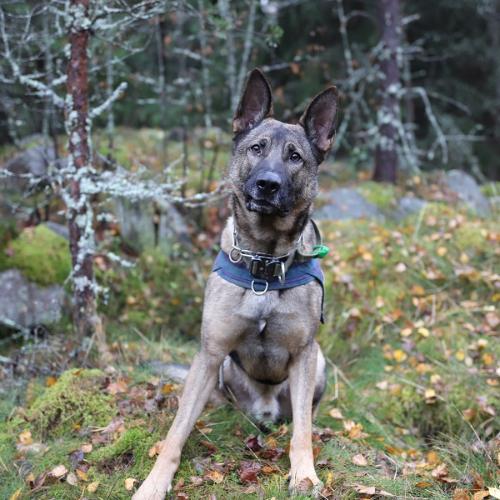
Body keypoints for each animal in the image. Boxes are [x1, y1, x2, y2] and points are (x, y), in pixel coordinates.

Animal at [133, 68, 337, 499]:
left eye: (295, 156)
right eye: (256, 148)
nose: (267, 184)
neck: (265, 264)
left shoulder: (304, 354)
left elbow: (302, 432)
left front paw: (305, 475)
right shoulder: (210, 354)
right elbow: (176, 431)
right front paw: (154, 483)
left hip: (320, 361)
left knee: (304, 416)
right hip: (225, 369)